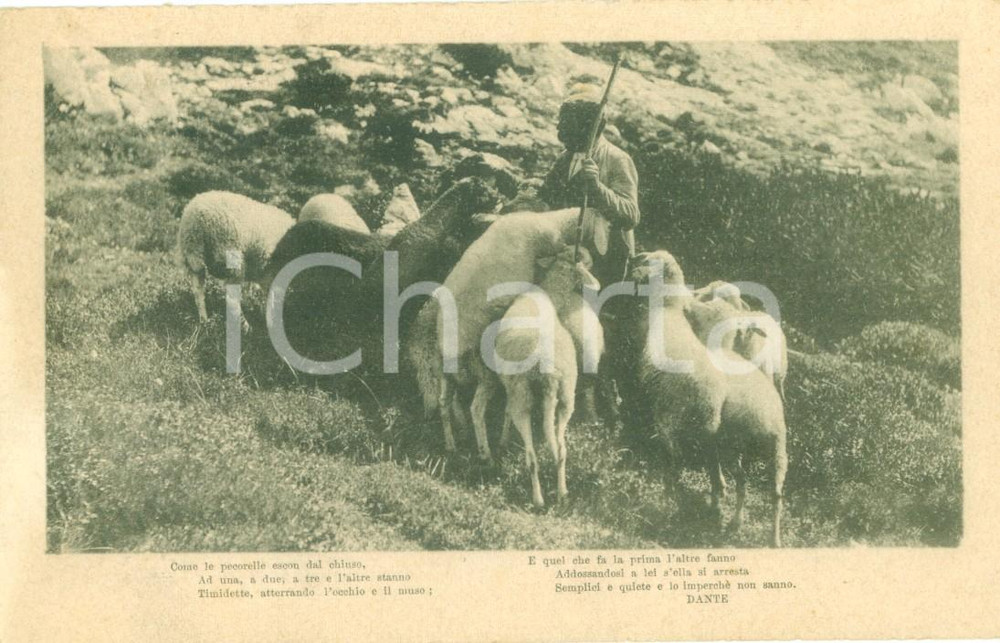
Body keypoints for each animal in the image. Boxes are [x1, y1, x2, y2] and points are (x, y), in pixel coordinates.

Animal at [176, 190, 294, 323]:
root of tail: (196, 219)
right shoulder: (270, 271)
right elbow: (272, 297)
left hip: (192, 257)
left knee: (198, 292)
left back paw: (204, 320)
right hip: (231, 256)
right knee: (232, 299)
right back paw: (244, 324)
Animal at [622, 250, 788, 547]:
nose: (632, 263)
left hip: (689, 425)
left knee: (680, 458)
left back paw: (675, 500)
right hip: (769, 451)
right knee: (766, 490)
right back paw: (762, 533)